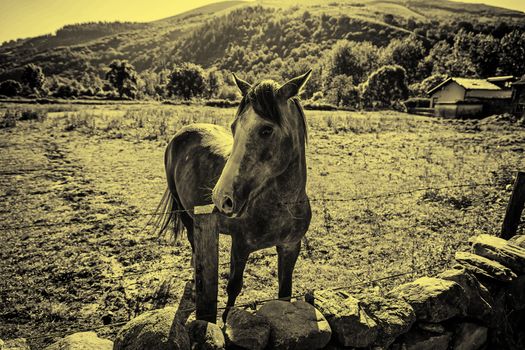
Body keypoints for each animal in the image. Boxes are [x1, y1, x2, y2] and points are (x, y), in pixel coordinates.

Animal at [156, 70, 312, 320]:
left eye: (266, 130)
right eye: (233, 127)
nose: (221, 198)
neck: (282, 205)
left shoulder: (290, 247)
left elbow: (284, 292)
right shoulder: (240, 247)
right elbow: (234, 288)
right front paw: (224, 320)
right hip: (185, 213)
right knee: (193, 242)